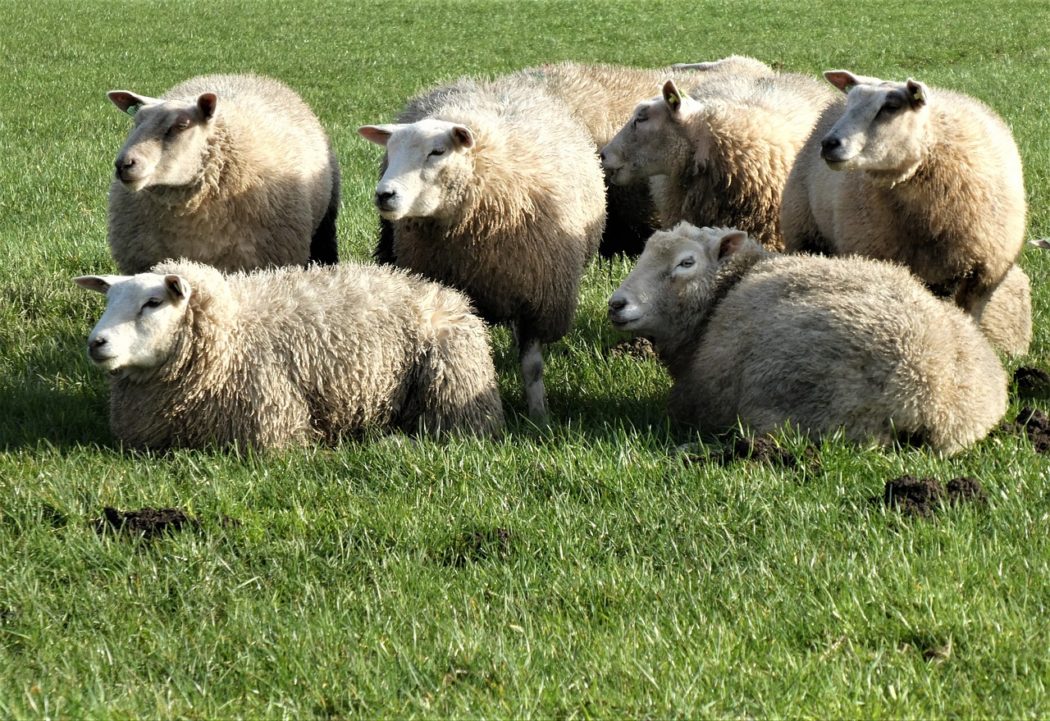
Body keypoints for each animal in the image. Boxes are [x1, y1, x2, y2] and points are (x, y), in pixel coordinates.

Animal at [74, 260, 504, 450]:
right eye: (109, 300)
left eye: (153, 302)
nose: (97, 342)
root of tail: (440, 289)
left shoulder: (271, 424)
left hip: (453, 387)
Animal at [358, 75, 607, 420]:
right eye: (391, 151)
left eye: (437, 151)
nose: (384, 194)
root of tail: (485, 82)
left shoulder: (538, 299)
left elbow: (532, 368)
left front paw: (539, 416)